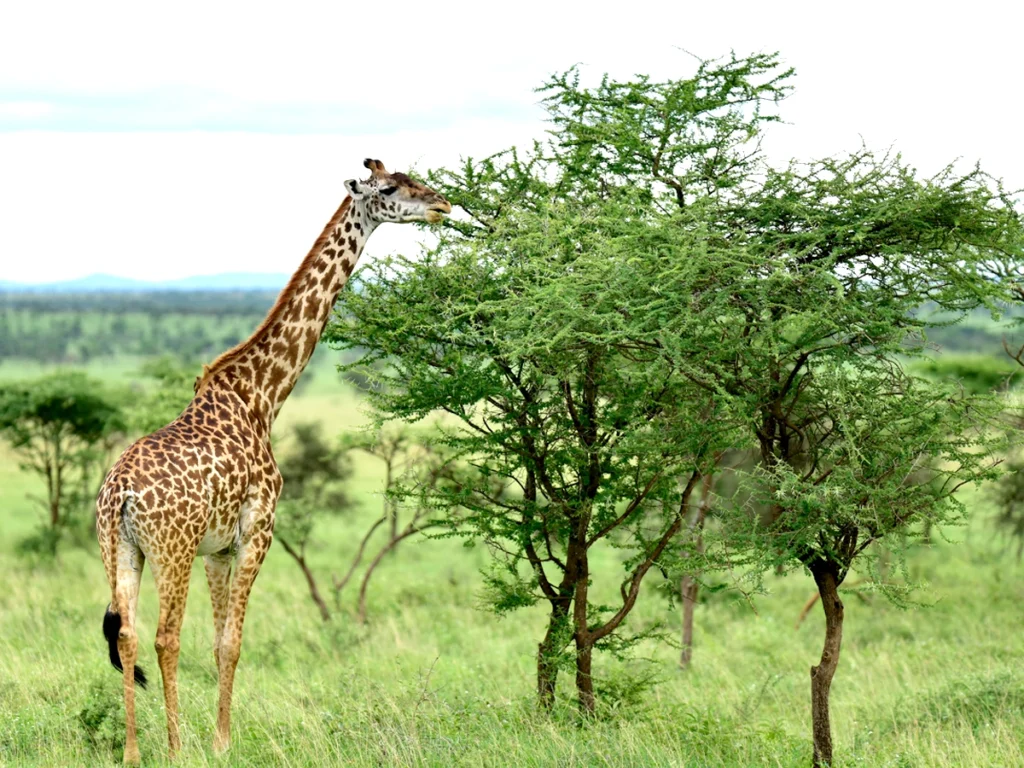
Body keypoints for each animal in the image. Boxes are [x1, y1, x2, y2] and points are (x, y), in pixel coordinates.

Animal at [96, 159, 452, 765]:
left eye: (416, 178)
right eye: (388, 188)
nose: (442, 205)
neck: (261, 397)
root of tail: (120, 493)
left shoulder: (218, 548)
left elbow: (218, 641)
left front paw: (217, 738)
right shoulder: (256, 531)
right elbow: (233, 642)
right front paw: (220, 743)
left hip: (119, 549)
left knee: (128, 635)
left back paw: (133, 752)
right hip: (170, 549)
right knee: (165, 636)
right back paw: (174, 748)